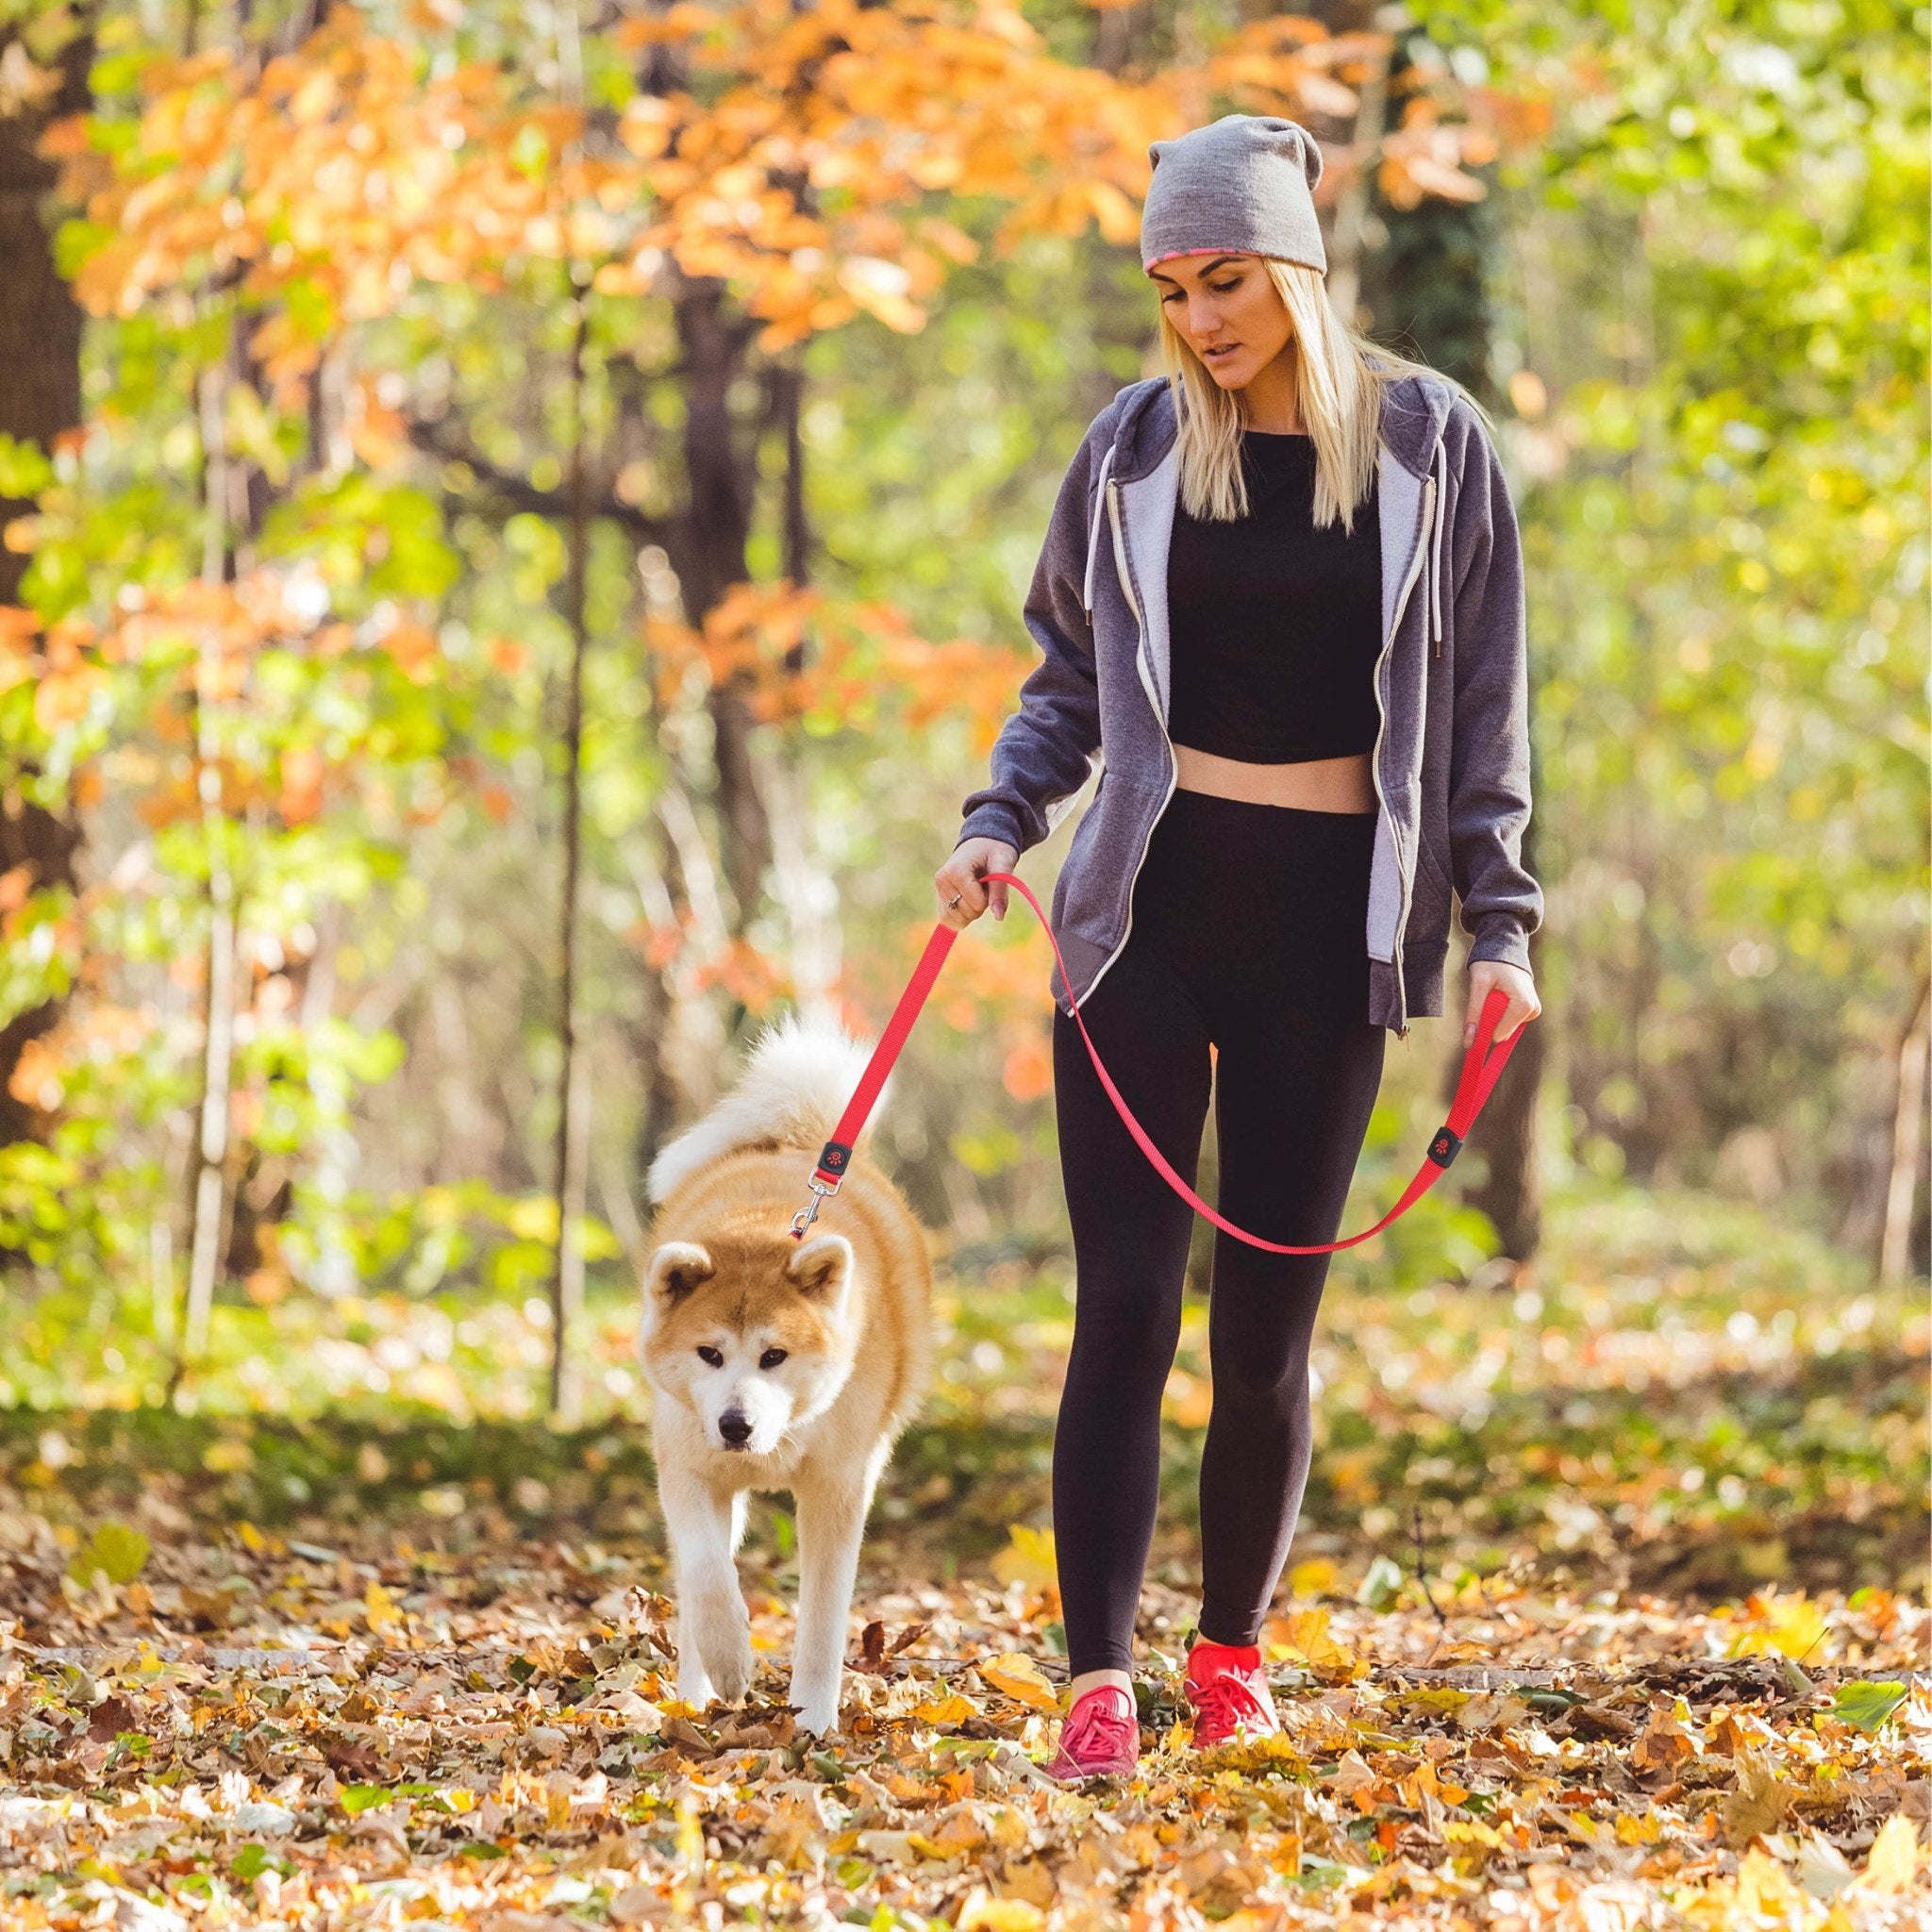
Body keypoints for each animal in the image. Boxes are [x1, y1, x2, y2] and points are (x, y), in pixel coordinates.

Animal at [637, 1012, 931, 1739]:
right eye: (709, 1354)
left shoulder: (838, 1486)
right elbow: (707, 1572)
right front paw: (730, 1657)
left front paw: (814, 1721)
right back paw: (694, 1696)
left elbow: (822, 1622)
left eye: (775, 1356)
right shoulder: (687, 1466)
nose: (734, 1425)